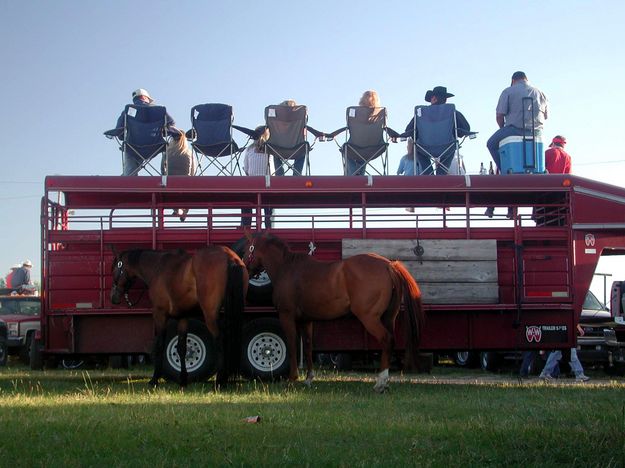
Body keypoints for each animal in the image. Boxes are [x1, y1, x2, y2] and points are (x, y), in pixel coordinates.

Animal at [111, 247, 247, 386]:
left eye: (115, 269)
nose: (113, 297)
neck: (158, 267)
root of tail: (230, 258)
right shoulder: (183, 317)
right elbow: (182, 348)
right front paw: (183, 379)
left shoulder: (160, 315)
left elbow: (160, 345)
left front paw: (154, 379)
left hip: (210, 316)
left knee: (220, 341)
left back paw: (220, 380)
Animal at [243, 233, 424, 392]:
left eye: (247, 250)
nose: (244, 270)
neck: (288, 269)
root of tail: (389, 265)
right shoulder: (306, 320)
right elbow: (308, 346)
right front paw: (308, 379)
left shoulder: (286, 316)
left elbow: (292, 345)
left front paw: (292, 379)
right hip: (388, 317)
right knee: (391, 341)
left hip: (369, 318)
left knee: (386, 340)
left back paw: (380, 383)